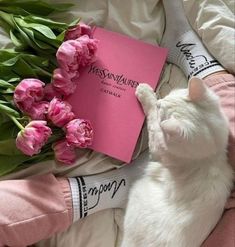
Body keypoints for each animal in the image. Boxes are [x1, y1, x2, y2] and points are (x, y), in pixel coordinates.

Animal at [121, 77, 233, 247]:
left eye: (161, 112)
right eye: (169, 95)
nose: (159, 102)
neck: (211, 156)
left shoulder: (157, 148)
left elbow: (151, 119)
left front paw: (145, 93)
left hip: (137, 191)